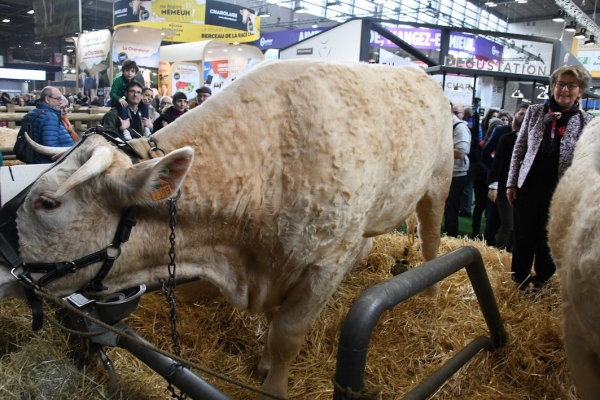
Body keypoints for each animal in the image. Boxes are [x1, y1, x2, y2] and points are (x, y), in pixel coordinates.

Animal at [0, 58, 452, 396]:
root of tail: (424, 77)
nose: (4, 254)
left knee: (430, 239)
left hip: (438, 183)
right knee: (372, 245)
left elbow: (286, 335)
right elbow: (274, 324)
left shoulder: (325, 263)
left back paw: (431, 292)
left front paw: (273, 385)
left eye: (47, 202)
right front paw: (264, 362)